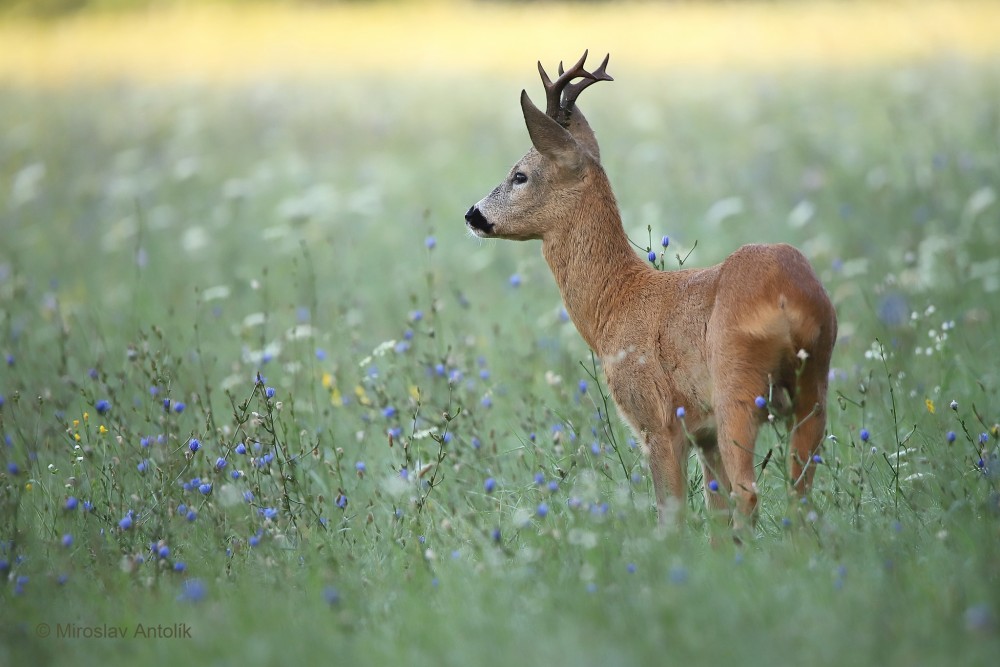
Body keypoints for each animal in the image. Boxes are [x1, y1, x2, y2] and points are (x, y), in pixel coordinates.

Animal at [464, 52, 840, 528]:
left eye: (520, 175)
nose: (472, 215)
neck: (617, 302)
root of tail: (787, 297)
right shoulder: (702, 430)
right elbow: (715, 519)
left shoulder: (656, 418)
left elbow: (671, 518)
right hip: (814, 381)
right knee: (799, 494)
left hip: (737, 386)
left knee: (749, 492)